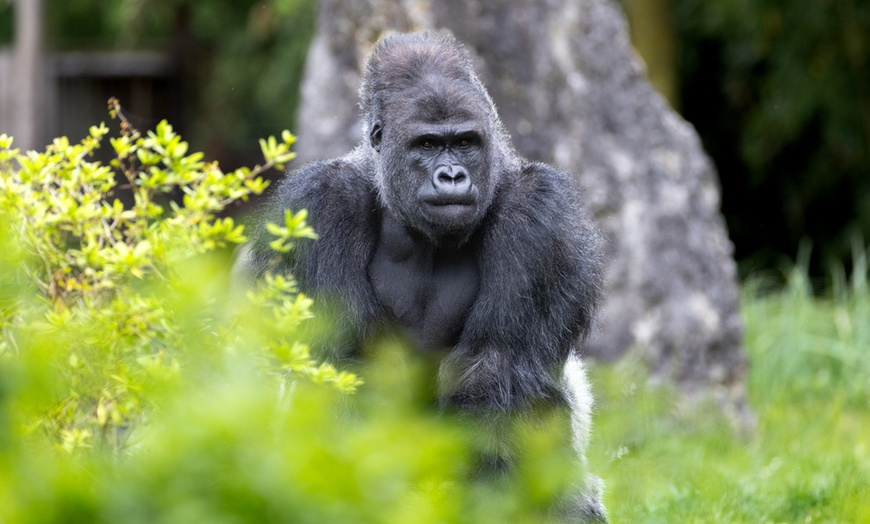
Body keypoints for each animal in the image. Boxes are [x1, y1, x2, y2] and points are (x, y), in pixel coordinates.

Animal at [237, 31, 608, 520]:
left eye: (466, 141)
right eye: (427, 145)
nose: (452, 176)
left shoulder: (539, 211)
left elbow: (497, 369)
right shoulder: (321, 203)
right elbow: (345, 367)